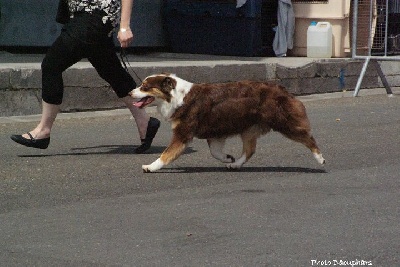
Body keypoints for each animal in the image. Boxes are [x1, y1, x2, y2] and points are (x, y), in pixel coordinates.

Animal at [129, 74, 324, 173]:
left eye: (144, 86)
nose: (130, 93)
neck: (177, 97)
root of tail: (282, 88)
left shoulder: (183, 134)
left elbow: (166, 154)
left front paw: (150, 166)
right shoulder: (215, 133)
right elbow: (215, 152)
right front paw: (228, 158)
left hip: (284, 123)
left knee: (309, 138)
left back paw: (320, 158)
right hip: (249, 129)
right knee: (250, 150)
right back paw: (235, 164)